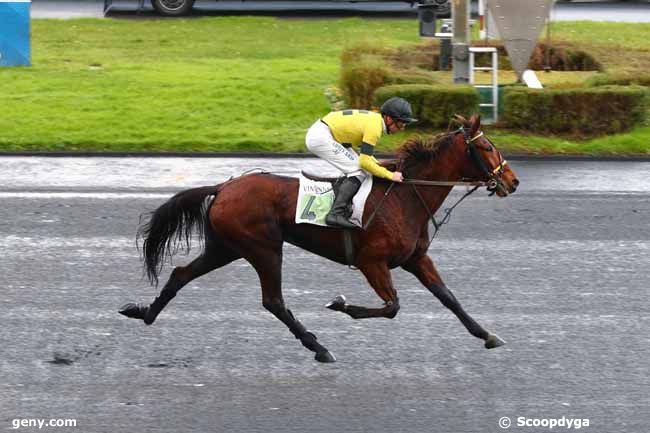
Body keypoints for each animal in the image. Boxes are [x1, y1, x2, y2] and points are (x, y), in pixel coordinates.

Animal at [120, 114, 516, 362]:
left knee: (181, 274)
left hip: (226, 247)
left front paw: (487, 335)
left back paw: (145, 313)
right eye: (486, 148)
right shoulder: (372, 262)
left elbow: (448, 297)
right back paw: (318, 347)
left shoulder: (415, 259)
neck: (405, 197)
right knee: (273, 301)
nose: (511, 181)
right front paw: (340, 304)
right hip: (263, 248)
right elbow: (392, 307)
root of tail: (223, 187)